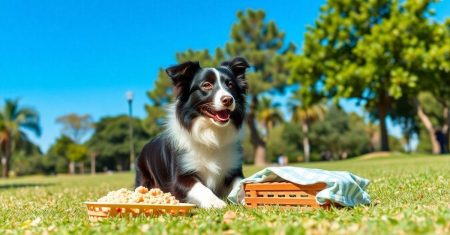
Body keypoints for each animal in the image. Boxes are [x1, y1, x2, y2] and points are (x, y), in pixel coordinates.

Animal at [135, 57, 251, 208]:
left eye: (230, 84)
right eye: (206, 85)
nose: (228, 99)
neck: (211, 133)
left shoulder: (233, 169)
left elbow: (241, 184)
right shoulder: (180, 177)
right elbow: (201, 188)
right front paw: (215, 202)